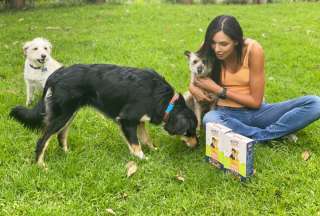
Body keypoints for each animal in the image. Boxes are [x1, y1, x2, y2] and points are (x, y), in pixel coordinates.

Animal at [10, 63, 198, 166]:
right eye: (190, 131)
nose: (196, 145)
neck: (165, 99)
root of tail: (56, 74)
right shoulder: (127, 119)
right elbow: (136, 144)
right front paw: (143, 159)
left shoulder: (139, 121)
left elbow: (146, 139)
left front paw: (154, 150)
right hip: (62, 114)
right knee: (43, 139)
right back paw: (41, 165)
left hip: (69, 114)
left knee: (61, 135)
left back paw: (67, 154)